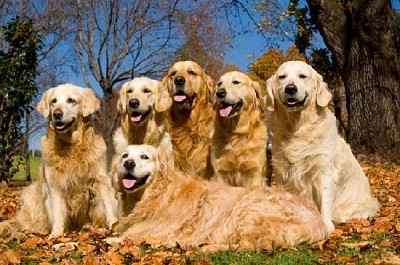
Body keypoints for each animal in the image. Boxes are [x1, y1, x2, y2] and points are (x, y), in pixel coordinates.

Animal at [266, 60, 378, 232]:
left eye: (302, 76)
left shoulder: (324, 171)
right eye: (282, 77)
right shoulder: (282, 172)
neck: (298, 128)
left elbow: (324, 201)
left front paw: (325, 225)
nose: (290, 88)